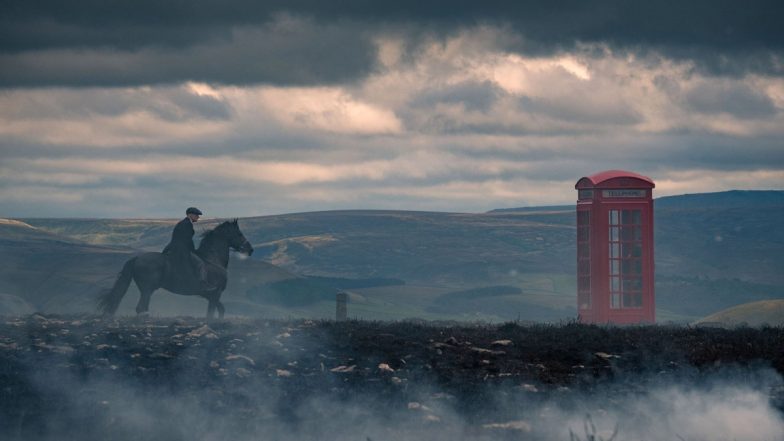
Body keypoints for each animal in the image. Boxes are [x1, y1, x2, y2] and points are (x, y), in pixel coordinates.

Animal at [96, 219, 253, 316]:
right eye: (239, 233)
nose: (250, 249)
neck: (212, 260)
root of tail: (136, 259)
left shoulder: (210, 296)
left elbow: (221, 311)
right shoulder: (215, 294)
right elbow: (211, 314)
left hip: (147, 290)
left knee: (143, 308)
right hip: (147, 289)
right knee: (141, 308)